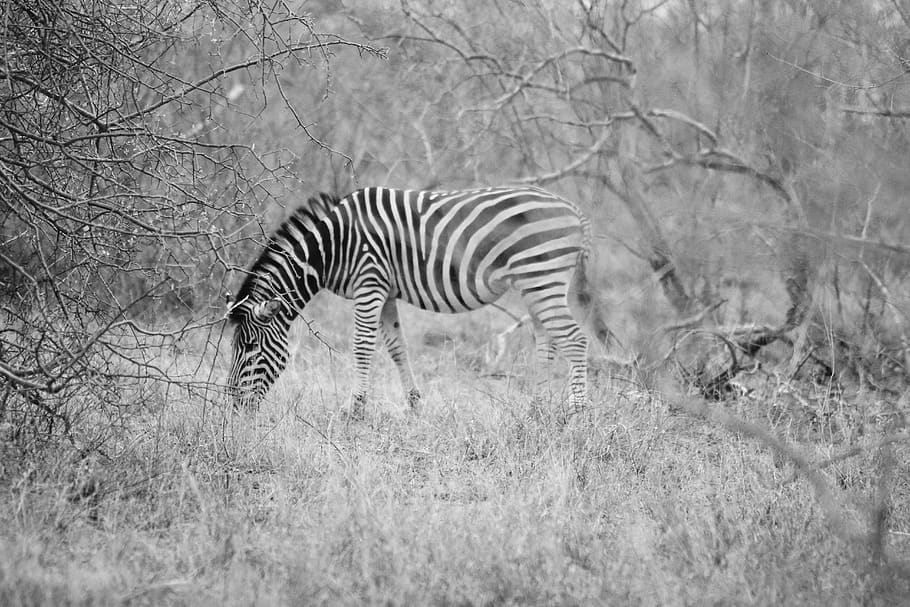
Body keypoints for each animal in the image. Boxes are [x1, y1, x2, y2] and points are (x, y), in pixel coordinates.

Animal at [227, 185, 612, 418]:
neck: (332, 247)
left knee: (575, 340)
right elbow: (397, 347)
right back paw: (535, 408)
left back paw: (578, 414)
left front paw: (355, 409)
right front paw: (413, 405)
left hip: (542, 276)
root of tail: (574, 210)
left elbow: (362, 346)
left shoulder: (369, 282)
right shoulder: (385, 291)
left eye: (249, 347)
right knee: (548, 342)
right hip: (536, 283)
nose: (233, 405)